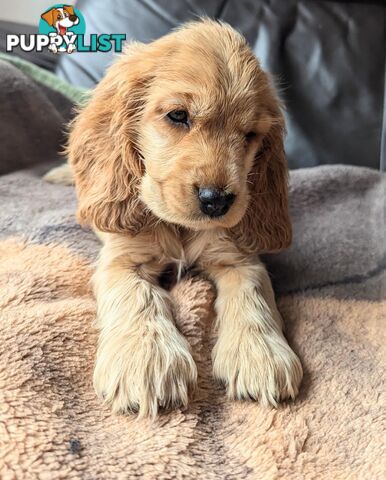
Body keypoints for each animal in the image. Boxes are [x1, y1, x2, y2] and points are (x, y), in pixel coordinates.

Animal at [65, 19, 304, 416]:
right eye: (178, 116)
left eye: (250, 135)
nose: (216, 200)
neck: (180, 228)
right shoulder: (121, 259)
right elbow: (137, 293)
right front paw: (146, 357)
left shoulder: (238, 257)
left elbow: (252, 294)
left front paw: (261, 353)